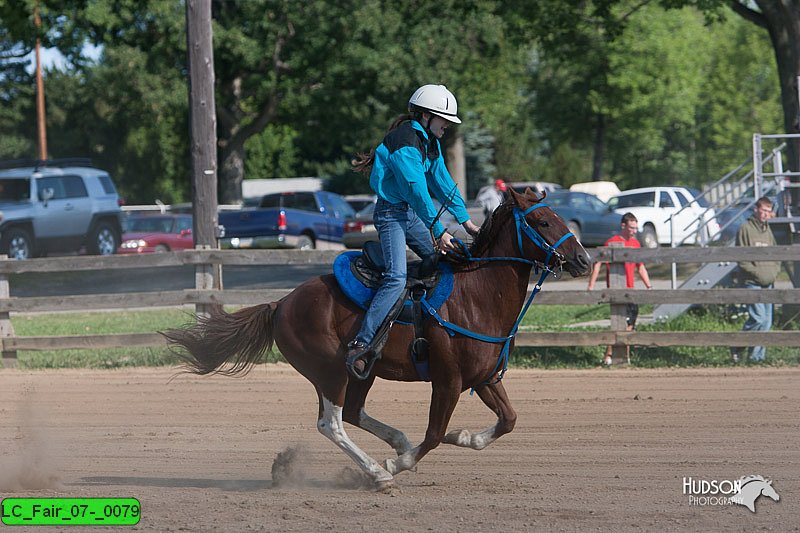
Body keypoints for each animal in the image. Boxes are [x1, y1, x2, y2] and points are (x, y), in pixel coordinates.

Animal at [164, 187, 588, 490]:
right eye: (543, 222)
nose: (583, 259)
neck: (477, 295)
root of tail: (281, 303)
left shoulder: (484, 377)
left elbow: (508, 420)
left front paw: (462, 435)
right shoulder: (447, 382)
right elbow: (433, 435)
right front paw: (398, 463)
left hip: (362, 371)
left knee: (353, 412)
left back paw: (395, 442)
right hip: (332, 371)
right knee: (332, 423)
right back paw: (377, 471)